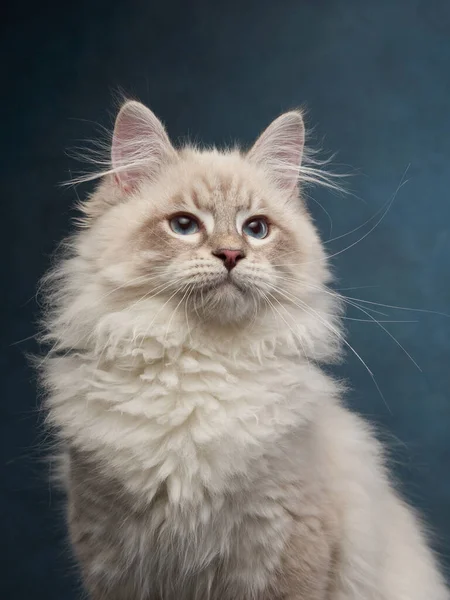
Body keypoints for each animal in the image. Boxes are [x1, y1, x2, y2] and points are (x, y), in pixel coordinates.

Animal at [39, 101, 450, 596]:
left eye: (256, 229)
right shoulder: (111, 556)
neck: (202, 361)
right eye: (183, 225)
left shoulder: (287, 549)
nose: (232, 255)